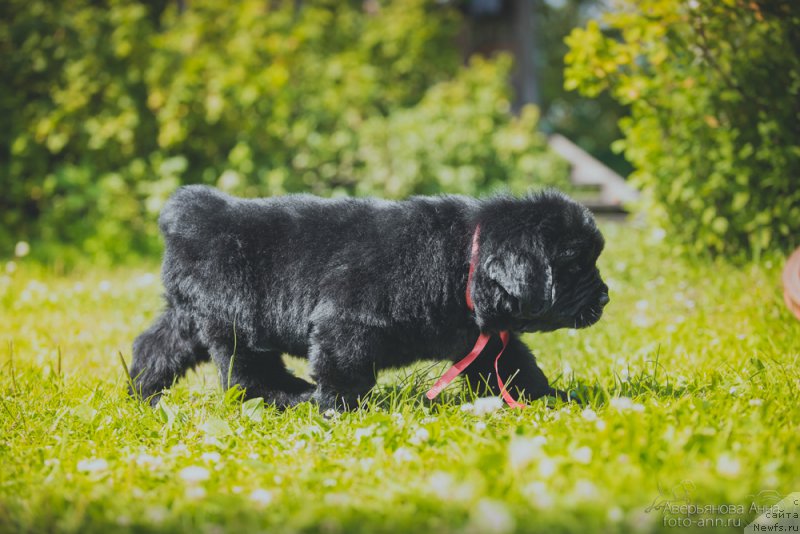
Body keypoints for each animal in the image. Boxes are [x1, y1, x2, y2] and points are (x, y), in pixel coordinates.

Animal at [130, 186, 608, 412]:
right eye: (575, 265)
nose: (605, 296)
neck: (463, 261)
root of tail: (196, 214)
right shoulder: (346, 322)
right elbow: (344, 371)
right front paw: (340, 410)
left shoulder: (485, 341)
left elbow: (516, 369)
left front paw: (553, 399)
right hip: (238, 322)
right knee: (249, 376)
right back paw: (294, 397)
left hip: (190, 316)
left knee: (155, 345)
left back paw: (142, 391)